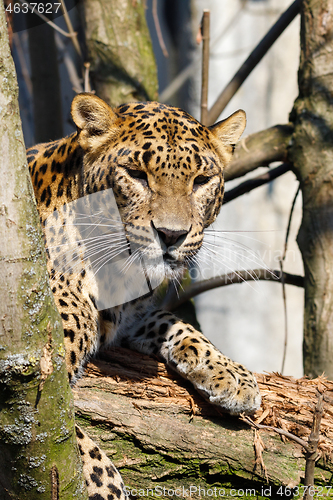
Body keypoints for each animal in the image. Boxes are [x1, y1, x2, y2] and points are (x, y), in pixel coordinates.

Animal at [27, 93, 260, 496]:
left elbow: (177, 323)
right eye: (136, 174)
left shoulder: (130, 316)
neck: (116, 275)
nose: (171, 235)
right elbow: (70, 436)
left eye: (201, 180)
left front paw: (232, 374)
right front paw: (107, 487)